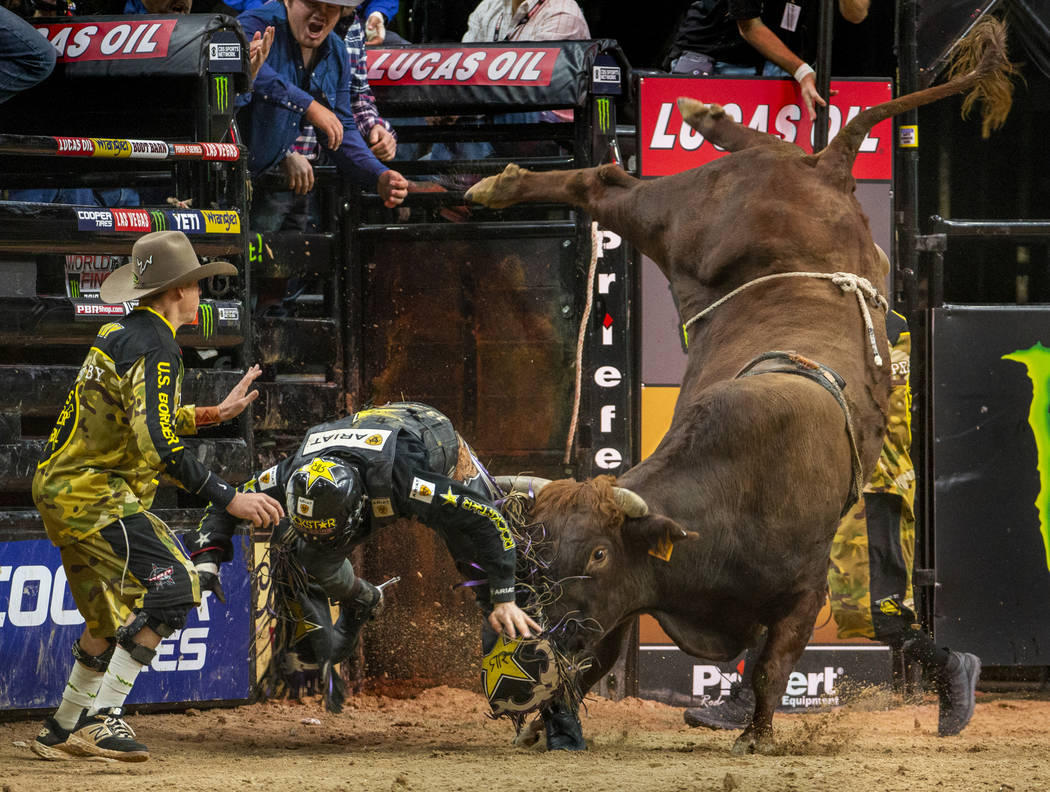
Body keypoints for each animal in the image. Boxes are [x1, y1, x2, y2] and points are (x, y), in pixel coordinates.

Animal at [468, 16, 1007, 752]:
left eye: (600, 552)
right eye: (536, 559)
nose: (537, 635)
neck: (730, 493)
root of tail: (830, 170)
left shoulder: (803, 594)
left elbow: (772, 665)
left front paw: (754, 733)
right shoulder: (628, 600)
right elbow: (595, 658)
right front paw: (545, 718)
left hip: (683, 216)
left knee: (614, 180)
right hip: (705, 212)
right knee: (703, 158)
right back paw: (692, 117)